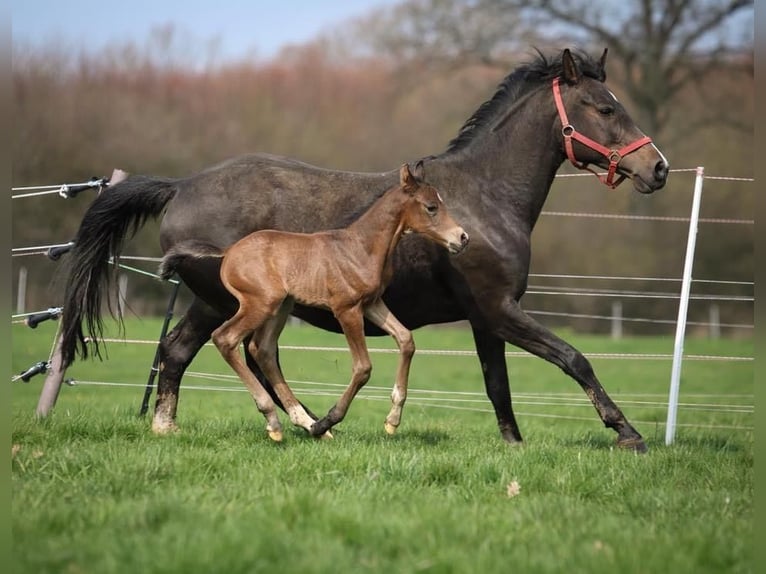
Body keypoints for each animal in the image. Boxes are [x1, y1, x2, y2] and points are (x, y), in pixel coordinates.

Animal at [159, 164, 468, 444]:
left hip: (281, 308)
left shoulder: (372, 304)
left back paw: (297, 420)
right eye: (431, 207)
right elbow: (363, 367)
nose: (462, 238)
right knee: (226, 339)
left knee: (263, 350)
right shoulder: (347, 309)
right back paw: (279, 421)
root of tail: (228, 253)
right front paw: (330, 419)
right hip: (259, 305)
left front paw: (392, 421)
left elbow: (406, 340)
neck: (360, 247)